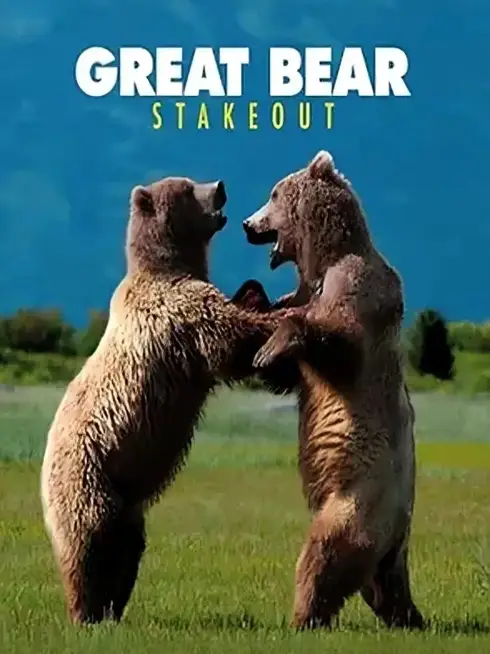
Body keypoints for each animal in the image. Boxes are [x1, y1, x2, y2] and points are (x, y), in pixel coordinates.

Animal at [40, 175, 299, 625]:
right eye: (186, 188)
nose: (221, 185)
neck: (170, 265)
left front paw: (257, 294)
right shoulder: (177, 313)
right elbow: (229, 339)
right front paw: (280, 320)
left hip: (125, 501)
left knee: (127, 547)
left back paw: (112, 607)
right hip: (86, 478)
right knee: (89, 544)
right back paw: (87, 610)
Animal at [236, 150, 424, 631]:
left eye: (273, 193)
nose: (247, 224)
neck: (321, 263)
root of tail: (401, 535)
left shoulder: (359, 289)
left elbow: (341, 344)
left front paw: (272, 343)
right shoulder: (304, 293)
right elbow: (289, 373)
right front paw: (252, 299)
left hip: (360, 501)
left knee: (326, 552)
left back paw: (303, 617)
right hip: (382, 545)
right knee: (379, 586)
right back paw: (407, 616)